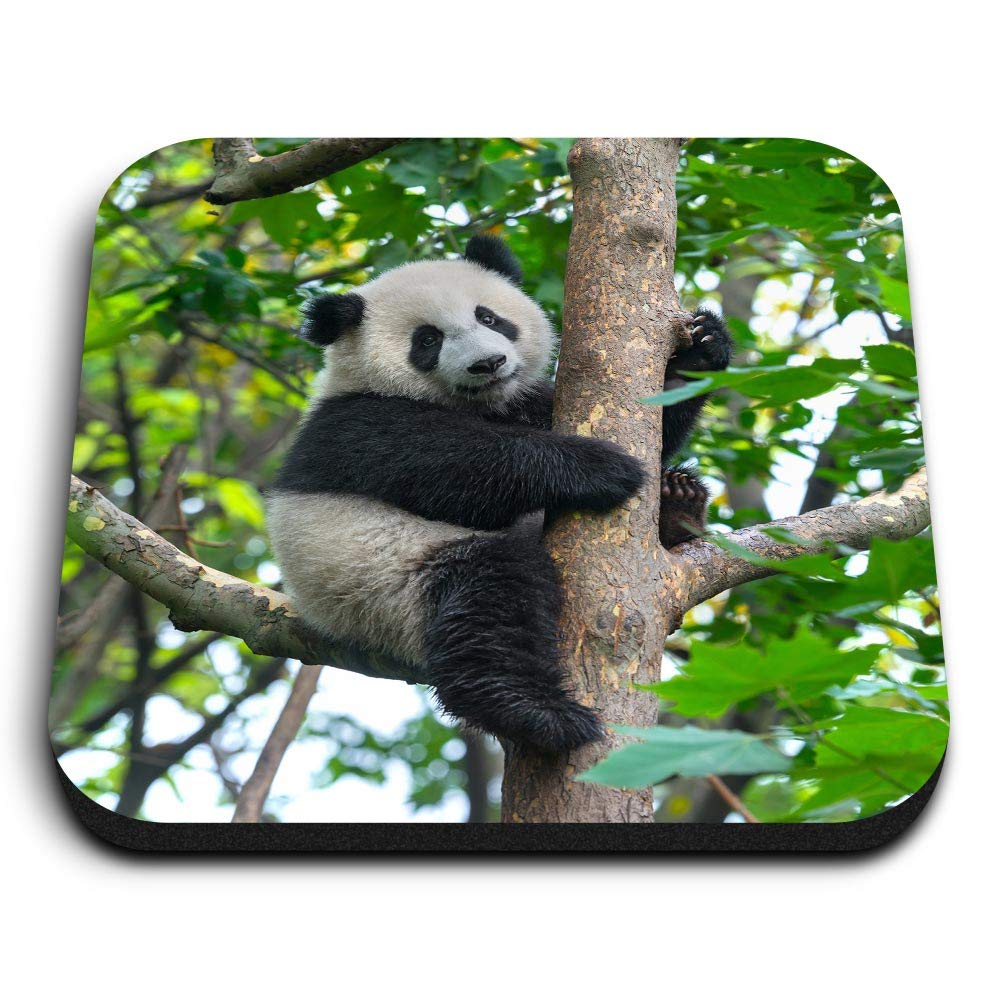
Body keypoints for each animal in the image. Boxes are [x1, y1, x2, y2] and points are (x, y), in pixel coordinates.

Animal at [267, 235, 732, 752]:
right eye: (427, 340)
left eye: (488, 318)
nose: (488, 363)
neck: (476, 403)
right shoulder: (357, 426)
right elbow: (456, 468)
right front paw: (600, 468)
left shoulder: (525, 401)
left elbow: (656, 421)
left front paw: (701, 351)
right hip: (384, 583)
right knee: (489, 601)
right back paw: (536, 711)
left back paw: (677, 503)